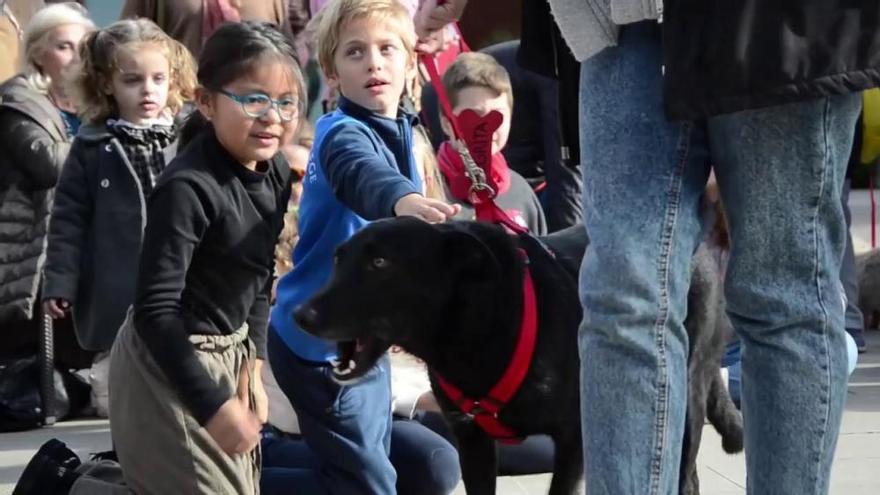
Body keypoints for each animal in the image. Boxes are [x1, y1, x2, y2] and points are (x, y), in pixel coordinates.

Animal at [296, 219, 744, 495]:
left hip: (686, 395)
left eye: (380, 262)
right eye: (337, 258)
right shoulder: (472, 442)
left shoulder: (574, 440)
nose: (301, 315)